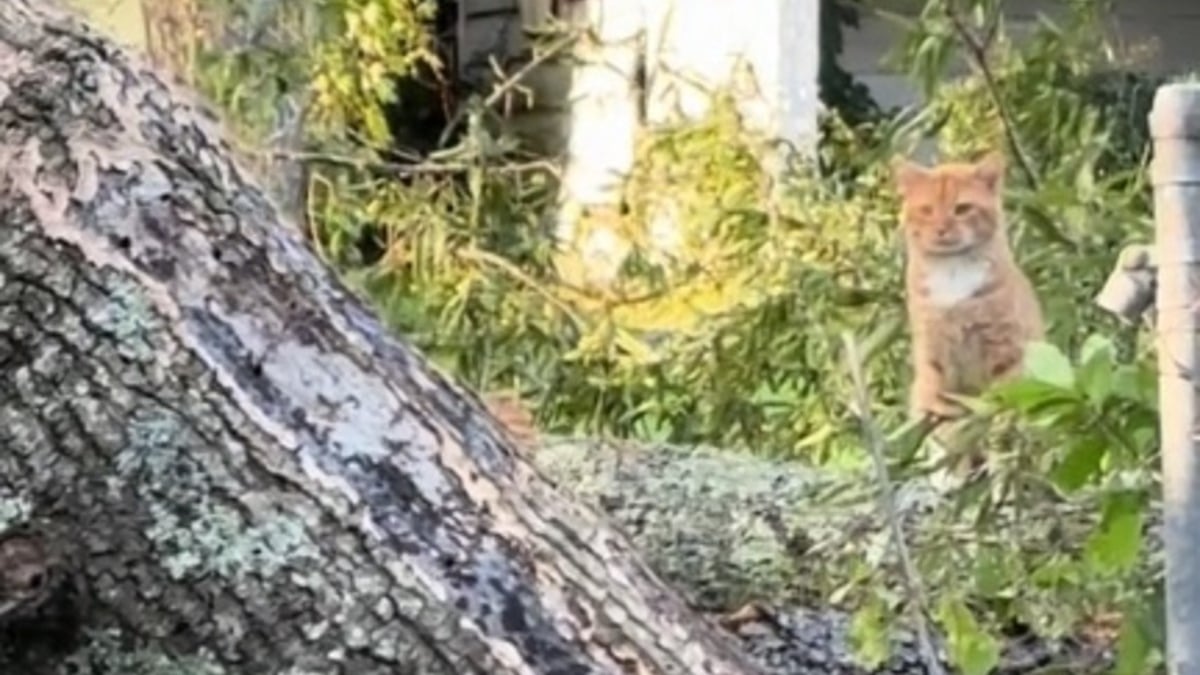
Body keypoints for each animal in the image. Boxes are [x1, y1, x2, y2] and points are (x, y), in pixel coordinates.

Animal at [892, 151, 1041, 475]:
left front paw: (1000, 471)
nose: (941, 229)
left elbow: (999, 422)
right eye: (927, 210)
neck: (953, 272)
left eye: (962, 209)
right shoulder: (934, 353)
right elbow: (945, 424)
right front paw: (952, 472)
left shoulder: (1006, 352)